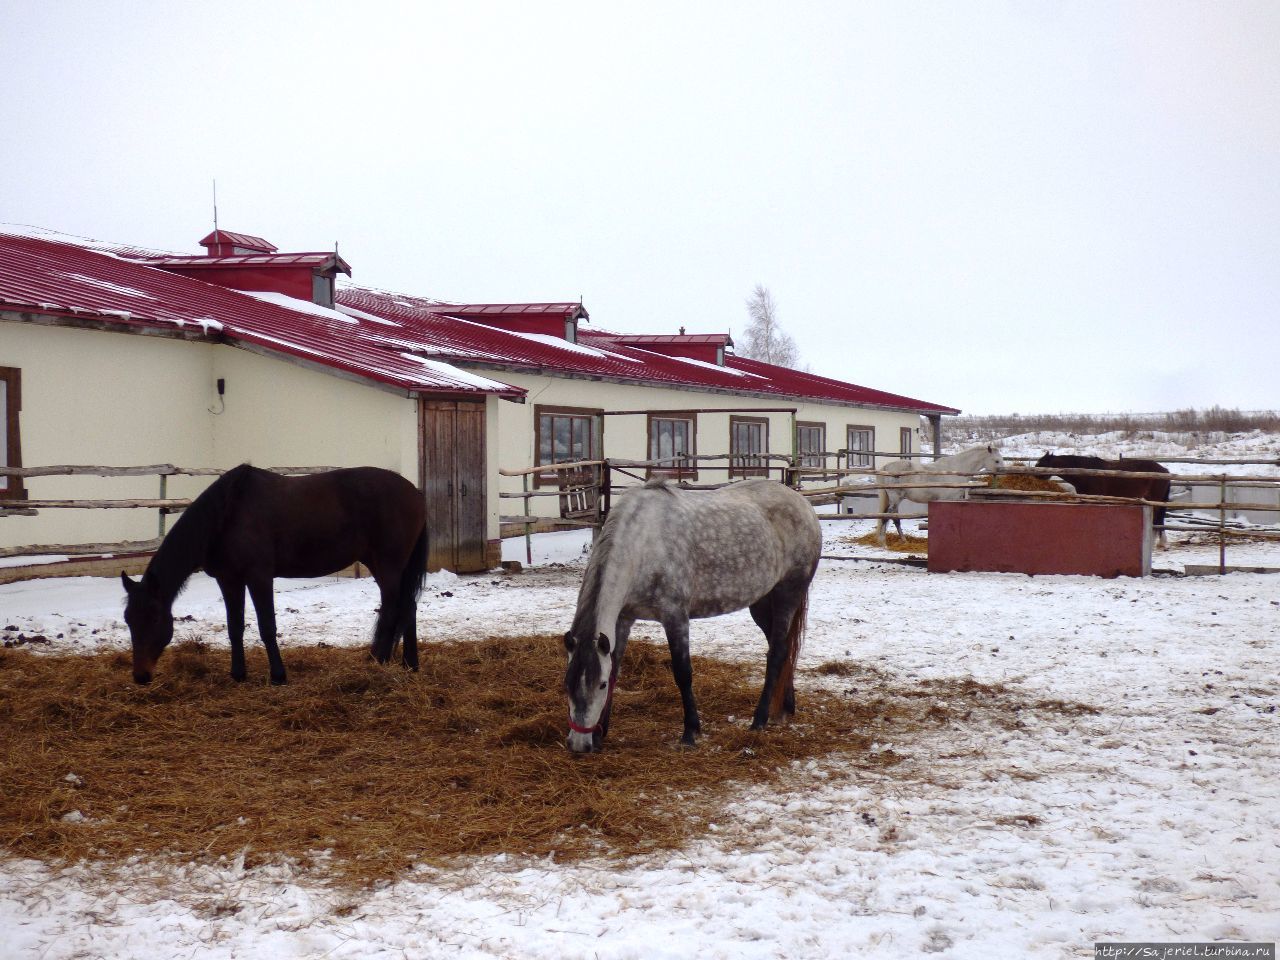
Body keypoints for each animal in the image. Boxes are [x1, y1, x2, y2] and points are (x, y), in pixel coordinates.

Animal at [121, 463, 427, 686]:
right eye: (128, 620)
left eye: (154, 618)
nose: (140, 676)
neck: (228, 515)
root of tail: (414, 492)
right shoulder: (228, 579)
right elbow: (234, 627)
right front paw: (238, 675)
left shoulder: (259, 576)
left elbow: (267, 626)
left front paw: (278, 676)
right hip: (384, 565)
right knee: (408, 607)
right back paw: (410, 665)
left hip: (388, 565)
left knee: (393, 608)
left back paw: (379, 660)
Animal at [563, 478, 819, 757]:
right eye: (567, 684)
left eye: (598, 685)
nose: (579, 745)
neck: (642, 544)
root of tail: (804, 504)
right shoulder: (623, 619)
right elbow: (615, 669)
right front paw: (601, 734)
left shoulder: (675, 616)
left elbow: (683, 673)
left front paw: (690, 732)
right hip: (762, 602)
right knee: (782, 648)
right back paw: (786, 707)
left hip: (787, 593)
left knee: (776, 654)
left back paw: (759, 720)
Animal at [875, 445, 1003, 547]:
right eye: (997, 461)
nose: (1004, 472)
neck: (956, 470)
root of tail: (886, 468)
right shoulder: (946, 500)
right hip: (896, 498)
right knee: (887, 516)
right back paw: (883, 542)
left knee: (893, 517)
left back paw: (903, 540)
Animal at [1034, 455, 1172, 552]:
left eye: (1042, 463)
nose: (1033, 474)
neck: (1086, 474)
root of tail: (1165, 470)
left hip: (1156, 500)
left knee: (1158, 520)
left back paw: (1160, 544)